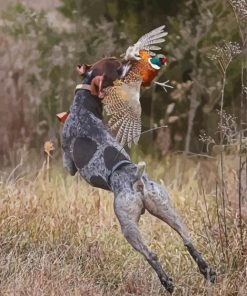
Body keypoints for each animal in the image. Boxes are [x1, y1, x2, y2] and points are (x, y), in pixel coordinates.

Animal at [60, 59, 215, 292]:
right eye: (116, 66)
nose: (130, 62)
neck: (84, 108)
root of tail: (137, 181)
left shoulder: (69, 164)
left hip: (128, 227)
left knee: (151, 255)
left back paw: (167, 283)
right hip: (167, 210)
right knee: (188, 240)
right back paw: (207, 272)